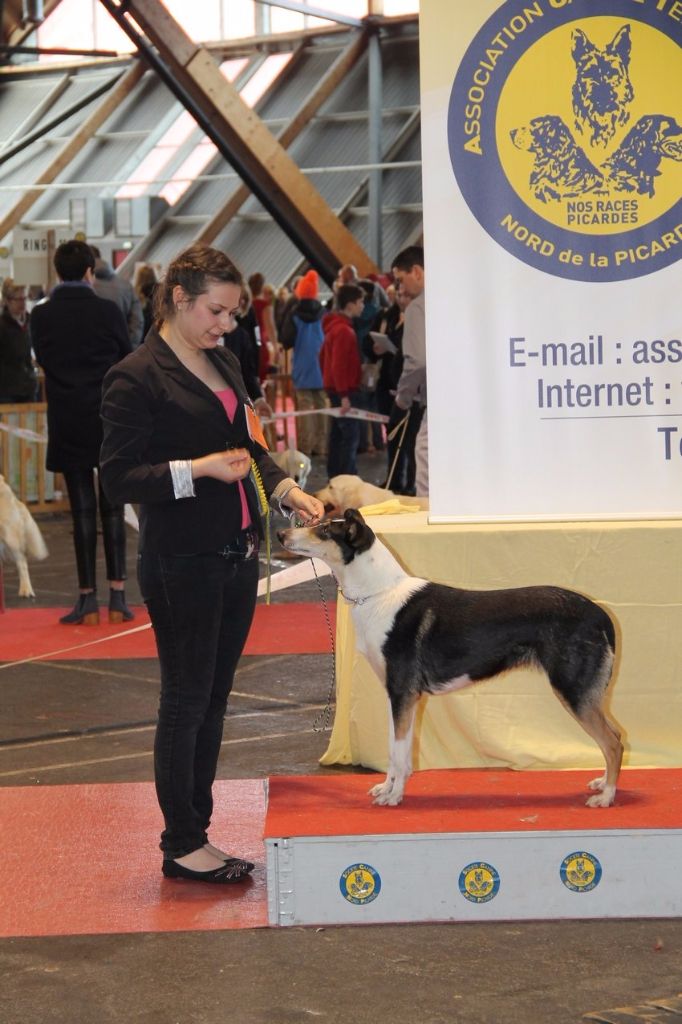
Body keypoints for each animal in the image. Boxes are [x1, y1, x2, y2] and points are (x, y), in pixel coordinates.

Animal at [276, 512, 622, 806]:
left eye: (324, 530)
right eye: (319, 521)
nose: (280, 534)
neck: (378, 594)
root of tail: (600, 614)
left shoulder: (402, 692)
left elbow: (399, 754)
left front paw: (393, 797)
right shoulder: (397, 695)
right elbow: (394, 748)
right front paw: (387, 788)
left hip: (574, 690)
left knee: (613, 742)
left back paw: (606, 797)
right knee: (613, 738)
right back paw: (601, 784)